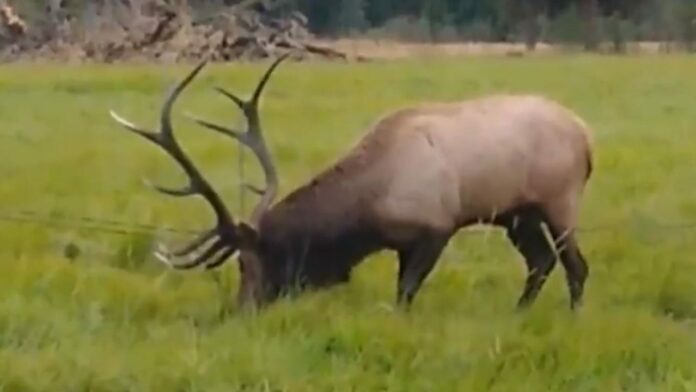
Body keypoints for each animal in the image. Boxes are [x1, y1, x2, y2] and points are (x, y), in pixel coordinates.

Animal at [110, 55, 592, 310]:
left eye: (248, 263)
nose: (240, 311)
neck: (368, 211)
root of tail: (588, 139)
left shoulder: (435, 228)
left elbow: (404, 294)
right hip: (518, 214)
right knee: (540, 261)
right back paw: (520, 314)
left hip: (560, 200)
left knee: (574, 265)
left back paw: (571, 318)